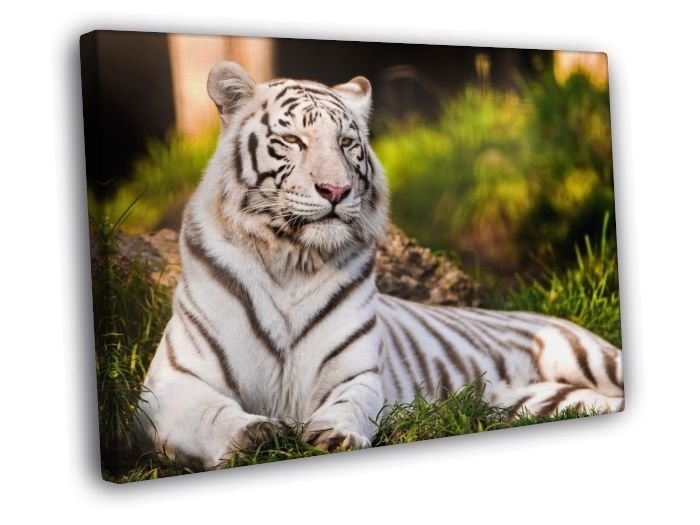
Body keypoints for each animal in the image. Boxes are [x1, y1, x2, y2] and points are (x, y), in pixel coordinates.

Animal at [136, 61, 624, 469]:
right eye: (293, 141)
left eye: (347, 144)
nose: (336, 190)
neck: (289, 261)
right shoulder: (170, 385)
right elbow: (212, 414)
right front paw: (255, 435)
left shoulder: (356, 374)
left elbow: (348, 406)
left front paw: (332, 435)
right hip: (542, 402)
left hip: (591, 357)